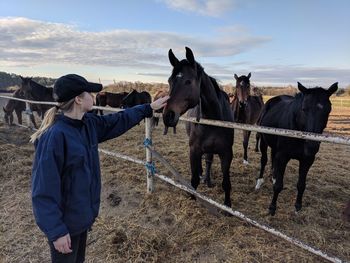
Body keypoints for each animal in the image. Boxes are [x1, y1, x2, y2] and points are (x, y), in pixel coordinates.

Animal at [163, 47, 234, 208]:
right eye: (169, 81)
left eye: (188, 81)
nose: (168, 116)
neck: (213, 119)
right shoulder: (194, 150)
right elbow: (194, 179)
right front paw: (192, 197)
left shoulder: (226, 153)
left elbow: (226, 183)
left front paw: (227, 205)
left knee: (208, 160)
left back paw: (207, 179)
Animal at [256, 82, 338, 217]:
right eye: (304, 109)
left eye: (328, 110)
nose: (312, 145)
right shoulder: (283, 157)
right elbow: (278, 186)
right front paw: (272, 208)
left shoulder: (307, 160)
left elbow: (301, 185)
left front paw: (297, 207)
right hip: (263, 141)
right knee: (264, 160)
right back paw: (259, 181)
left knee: (273, 158)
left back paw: (273, 177)